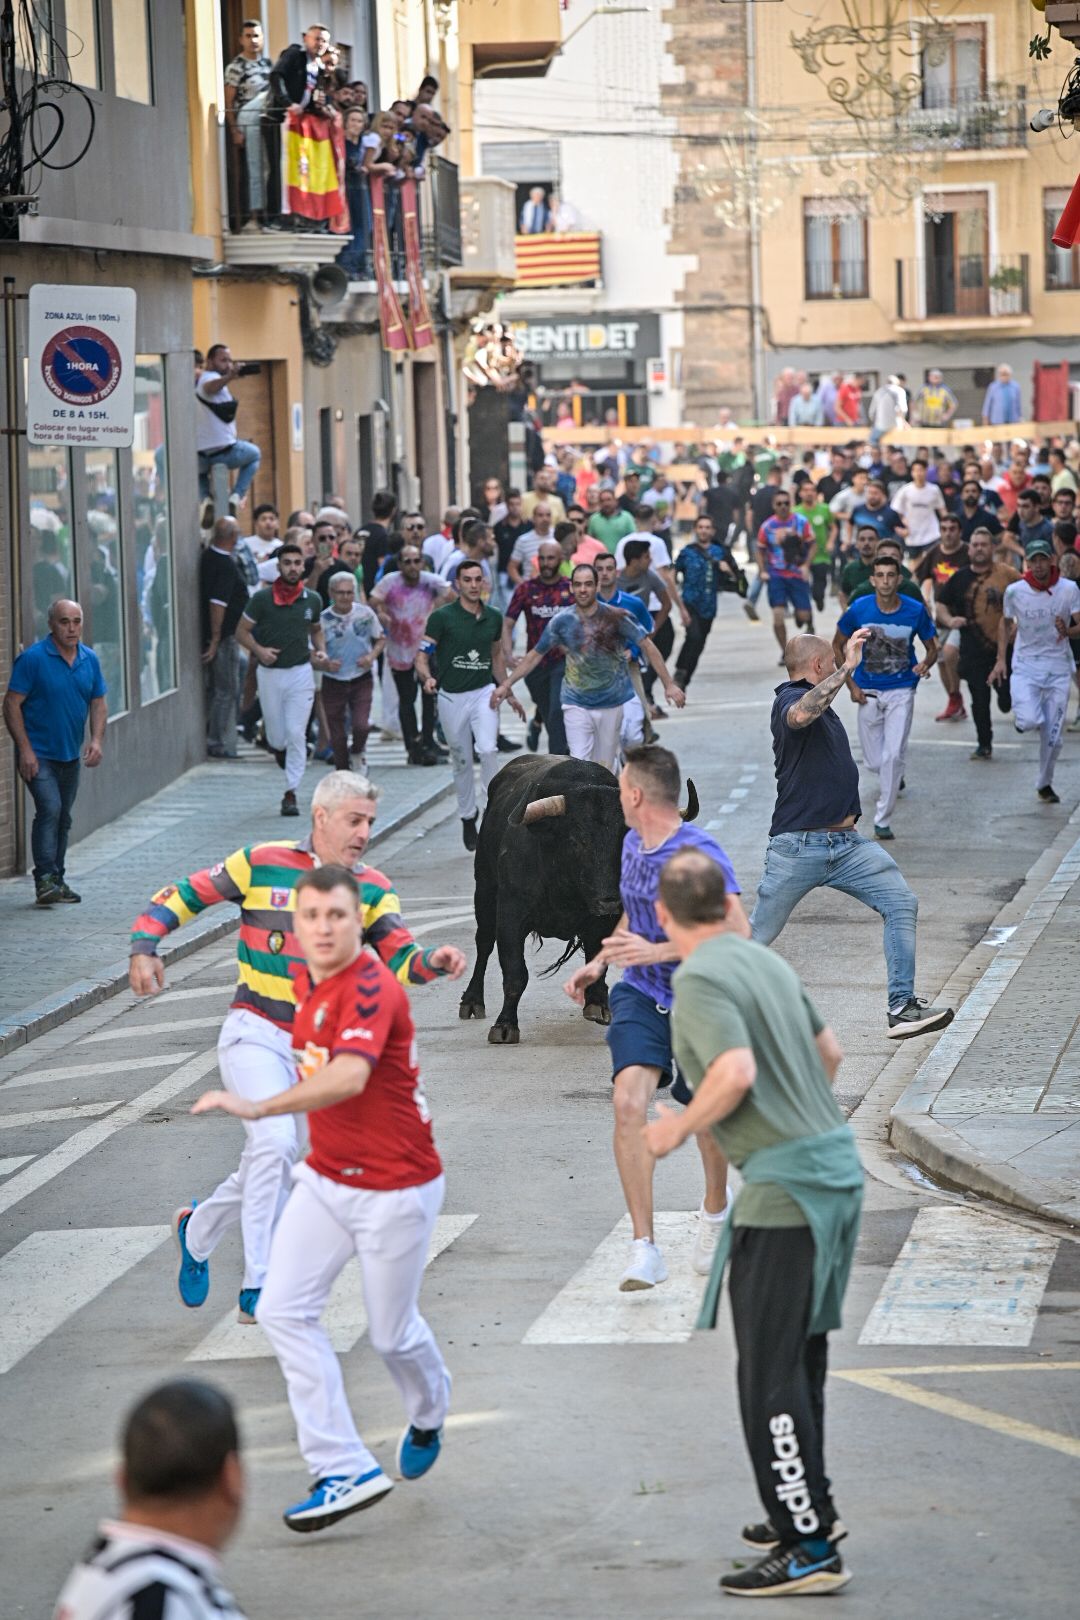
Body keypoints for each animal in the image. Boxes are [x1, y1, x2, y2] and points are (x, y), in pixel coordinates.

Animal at [459, 754, 702, 1043]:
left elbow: (598, 960)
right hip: (484, 891)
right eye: (577, 840)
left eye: (624, 839)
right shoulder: (510, 914)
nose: (610, 900)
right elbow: (515, 972)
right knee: (484, 942)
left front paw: (597, 1004)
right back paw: (472, 1001)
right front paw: (505, 1025)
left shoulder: (603, 921)